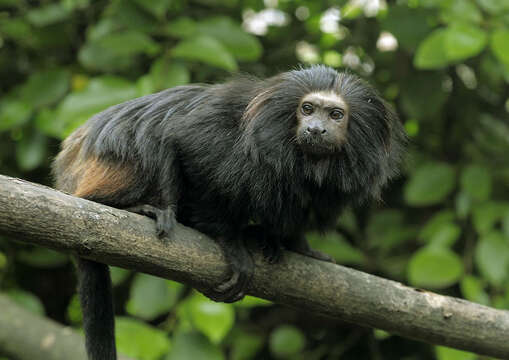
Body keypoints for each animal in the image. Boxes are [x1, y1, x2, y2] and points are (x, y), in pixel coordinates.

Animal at [52, 65, 404, 360]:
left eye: (335, 114)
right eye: (307, 109)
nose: (316, 129)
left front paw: (299, 246)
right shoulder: (224, 134)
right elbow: (184, 146)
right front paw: (231, 243)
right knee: (151, 144)